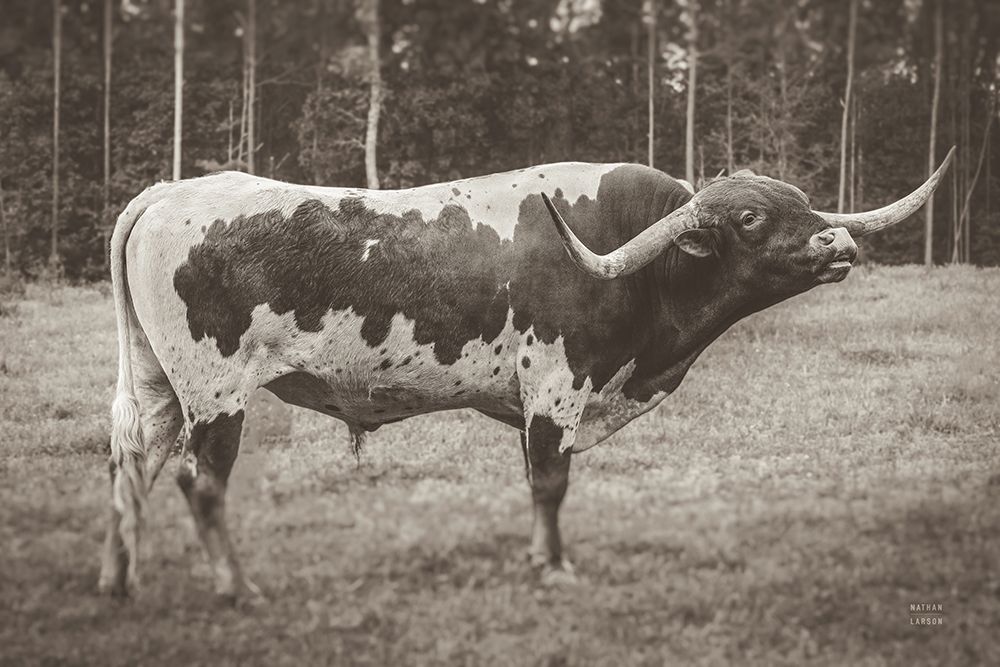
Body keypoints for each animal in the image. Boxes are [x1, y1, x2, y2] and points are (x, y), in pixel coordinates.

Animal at [99, 149, 954, 599]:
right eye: (750, 217)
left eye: (800, 200)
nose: (840, 243)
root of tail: (169, 192)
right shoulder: (556, 386)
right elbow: (551, 481)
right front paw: (556, 566)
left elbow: (536, 482)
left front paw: (539, 558)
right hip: (216, 392)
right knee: (199, 483)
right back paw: (236, 585)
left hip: (157, 386)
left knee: (130, 467)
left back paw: (120, 579)